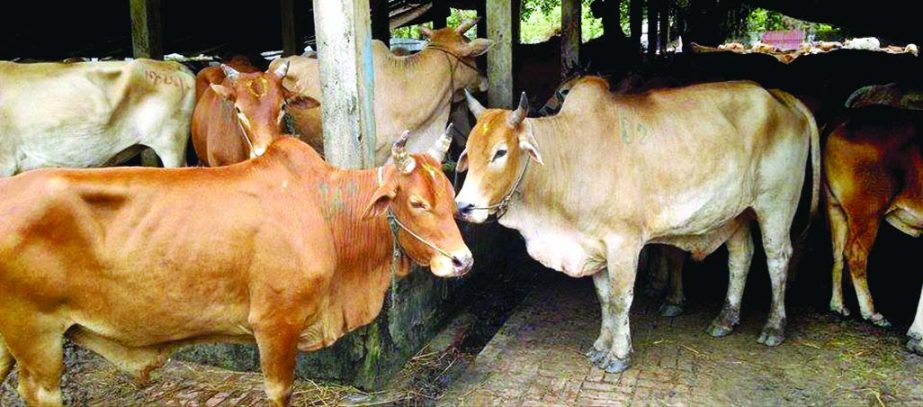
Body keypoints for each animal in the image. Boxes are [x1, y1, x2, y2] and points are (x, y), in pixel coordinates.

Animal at [828, 107, 923, 356]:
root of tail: (843, 118)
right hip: (867, 212)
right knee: (855, 255)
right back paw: (872, 313)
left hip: (835, 206)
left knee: (837, 253)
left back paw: (839, 305)